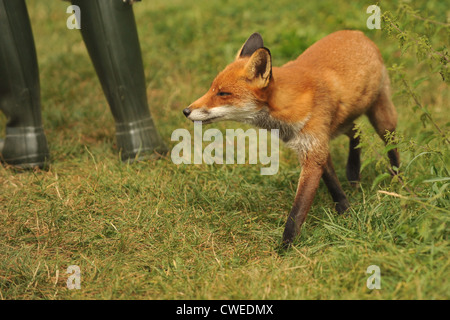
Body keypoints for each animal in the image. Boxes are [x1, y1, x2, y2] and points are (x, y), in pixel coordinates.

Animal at [184, 30, 400, 245]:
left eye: (223, 93)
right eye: (212, 88)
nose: (186, 111)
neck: (286, 107)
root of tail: (358, 33)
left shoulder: (314, 149)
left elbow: (298, 209)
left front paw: (286, 246)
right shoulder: (315, 147)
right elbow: (332, 183)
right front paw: (344, 209)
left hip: (381, 119)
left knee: (392, 146)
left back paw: (398, 179)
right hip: (342, 123)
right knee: (357, 133)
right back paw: (354, 172)